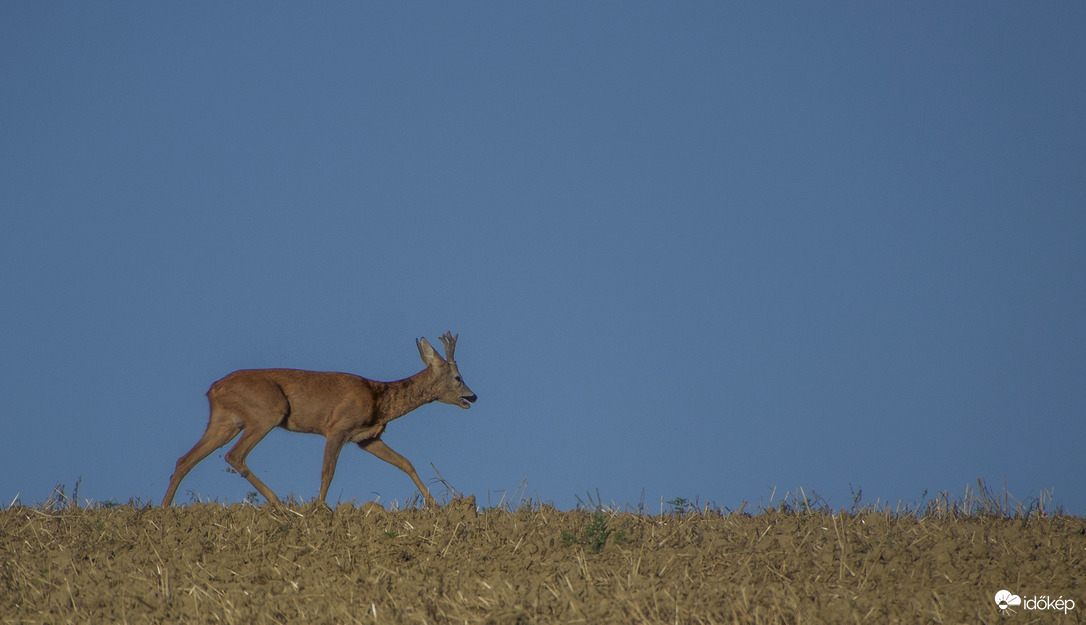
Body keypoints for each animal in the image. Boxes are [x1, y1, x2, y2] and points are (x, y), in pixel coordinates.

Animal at [159, 332, 475, 507]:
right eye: (458, 377)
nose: (473, 397)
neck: (380, 399)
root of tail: (213, 388)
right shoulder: (337, 427)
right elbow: (327, 472)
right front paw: (320, 508)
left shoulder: (367, 438)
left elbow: (406, 462)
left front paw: (433, 504)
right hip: (268, 411)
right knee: (234, 455)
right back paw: (278, 503)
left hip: (225, 421)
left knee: (185, 459)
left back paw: (163, 509)